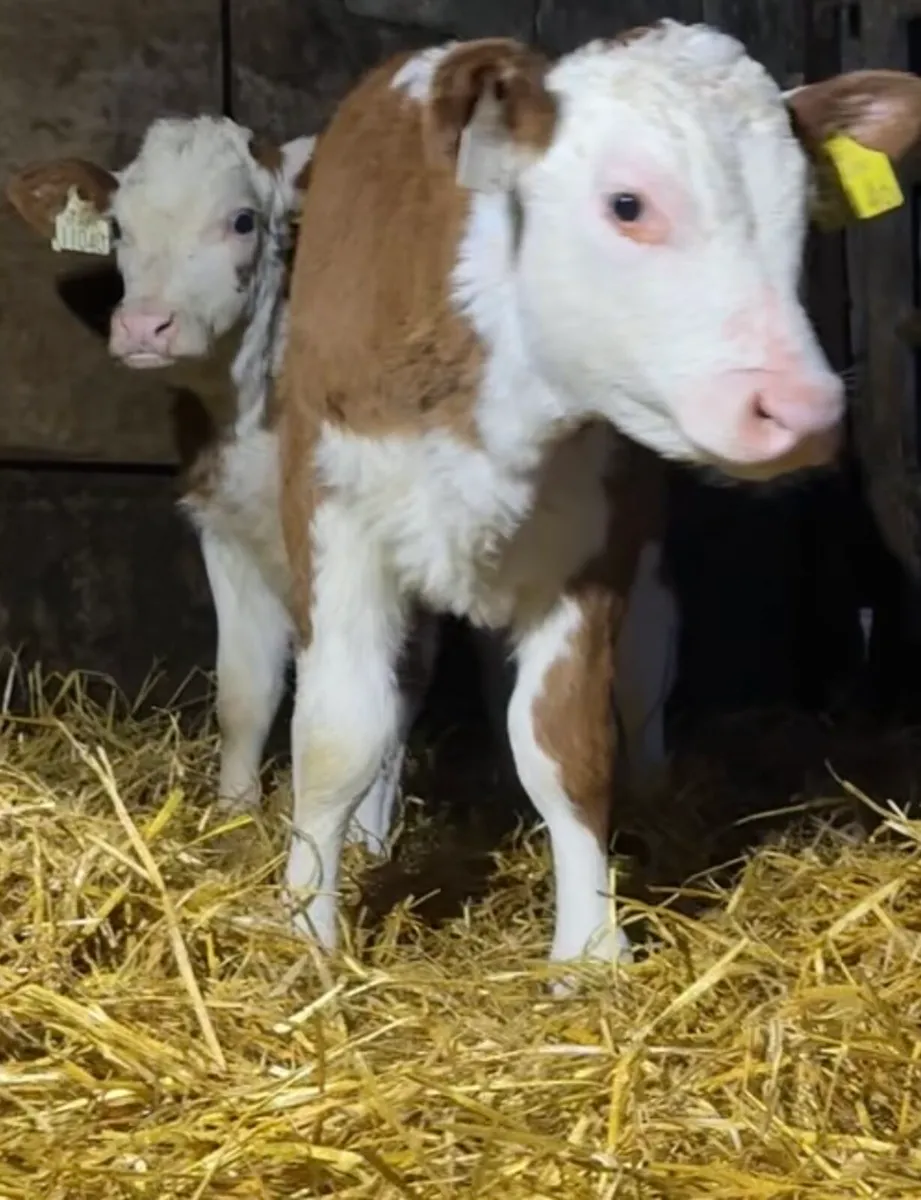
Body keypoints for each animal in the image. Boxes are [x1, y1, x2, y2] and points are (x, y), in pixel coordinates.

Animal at [272, 20, 921, 974]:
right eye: (627, 204)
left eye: (804, 209)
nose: (802, 410)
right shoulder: (330, 515)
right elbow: (337, 732)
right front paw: (302, 931)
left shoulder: (590, 550)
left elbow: (564, 743)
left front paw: (590, 946)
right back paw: (369, 838)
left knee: (645, 664)